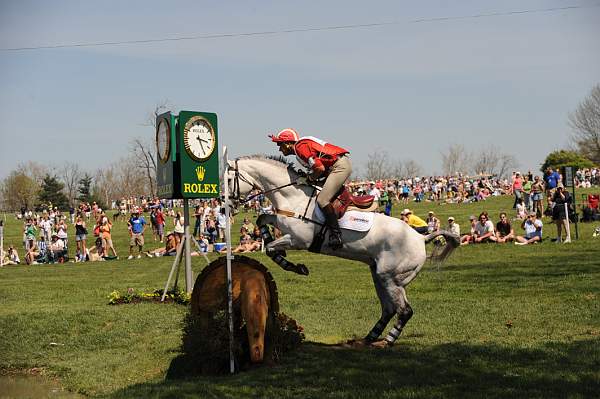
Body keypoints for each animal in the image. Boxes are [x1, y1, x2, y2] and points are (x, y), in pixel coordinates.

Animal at [226, 156, 460, 346]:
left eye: (228, 181)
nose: (227, 205)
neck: (293, 197)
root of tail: (421, 238)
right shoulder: (281, 222)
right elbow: (262, 219)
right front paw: (271, 242)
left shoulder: (299, 240)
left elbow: (271, 249)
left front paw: (295, 266)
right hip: (378, 275)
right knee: (389, 309)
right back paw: (369, 338)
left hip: (392, 277)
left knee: (404, 310)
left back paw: (388, 341)